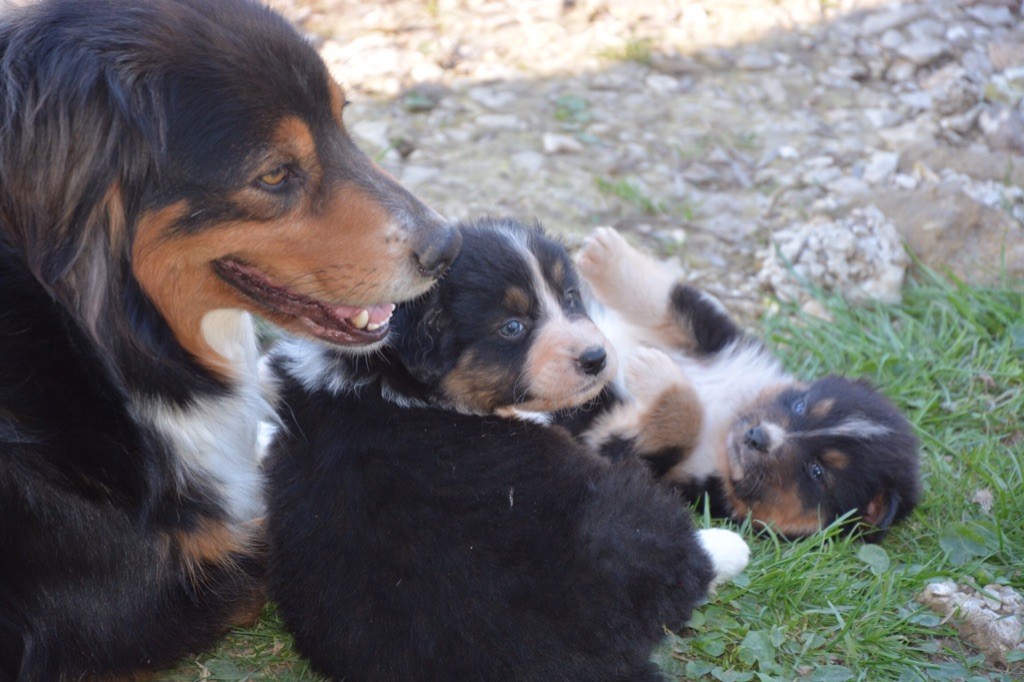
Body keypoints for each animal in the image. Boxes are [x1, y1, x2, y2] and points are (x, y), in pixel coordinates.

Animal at [262, 218, 745, 679]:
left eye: (571, 297)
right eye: (512, 327)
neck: (385, 379)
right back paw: (728, 543)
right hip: (622, 519)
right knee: (683, 561)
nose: (596, 359)